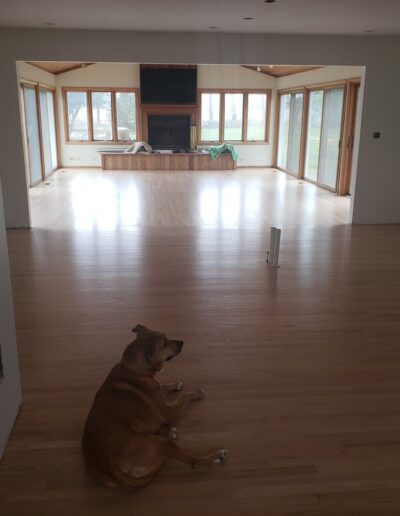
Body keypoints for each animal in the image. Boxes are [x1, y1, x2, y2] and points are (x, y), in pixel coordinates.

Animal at [82, 324, 225, 486]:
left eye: (165, 336)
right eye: (164, 343)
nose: (182, 342)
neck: (134, 369)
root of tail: (109, 467)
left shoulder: (157, 387)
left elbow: (162, 385)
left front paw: (174, 385)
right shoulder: (168, 411)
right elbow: (183, 397)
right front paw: (196, 392)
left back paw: (170, 432)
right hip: (158, 443)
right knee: (192, 462)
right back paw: (216, 455)